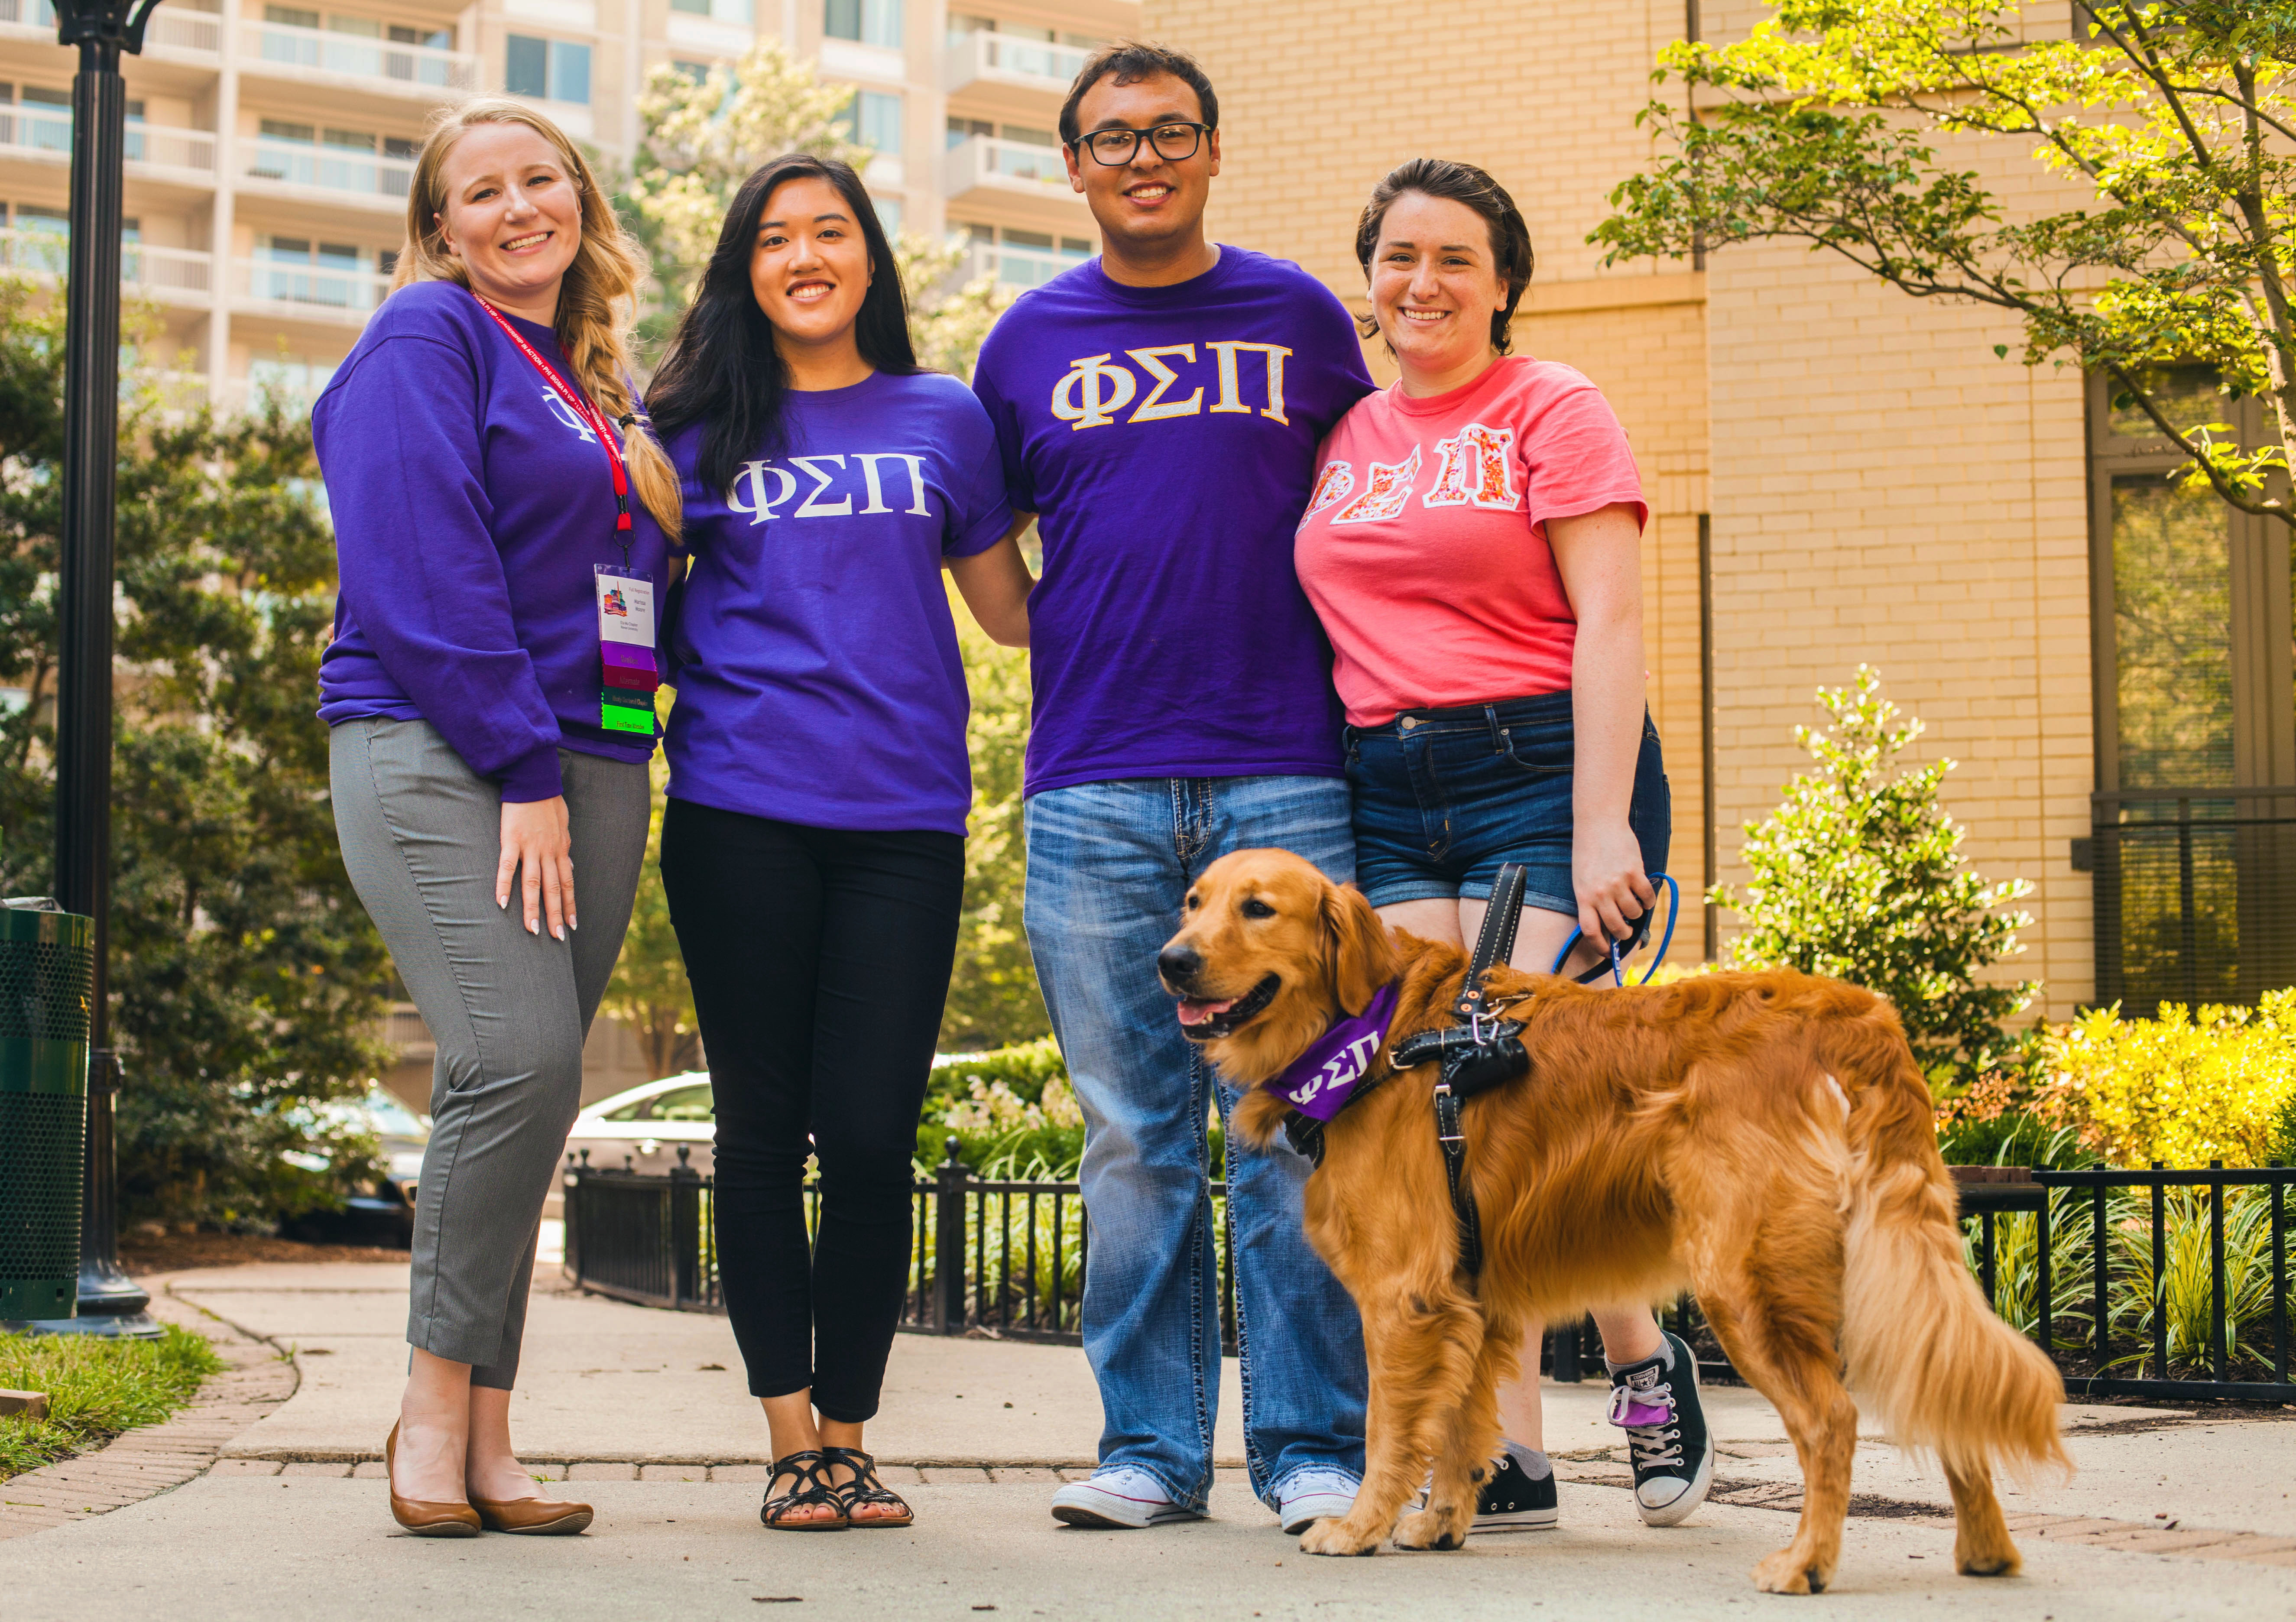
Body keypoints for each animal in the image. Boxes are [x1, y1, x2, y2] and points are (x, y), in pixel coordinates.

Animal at [1157, 845, 2075, 1590]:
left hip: (1745, 1278)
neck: (1376, 1032)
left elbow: (1394, 1427)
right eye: (1193, 901)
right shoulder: (1468, 1297)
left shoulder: (1404, 1296)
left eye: (1258, 907)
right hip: (1879, 1260)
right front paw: (1444, 1521)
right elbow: (1459, 1422)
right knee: (1942, 1379)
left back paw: (1806, 1561)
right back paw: (1985, 1549)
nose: (1171, 960)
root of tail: (1856, 1013)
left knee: (1833, 1418)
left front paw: (1358, 1527)